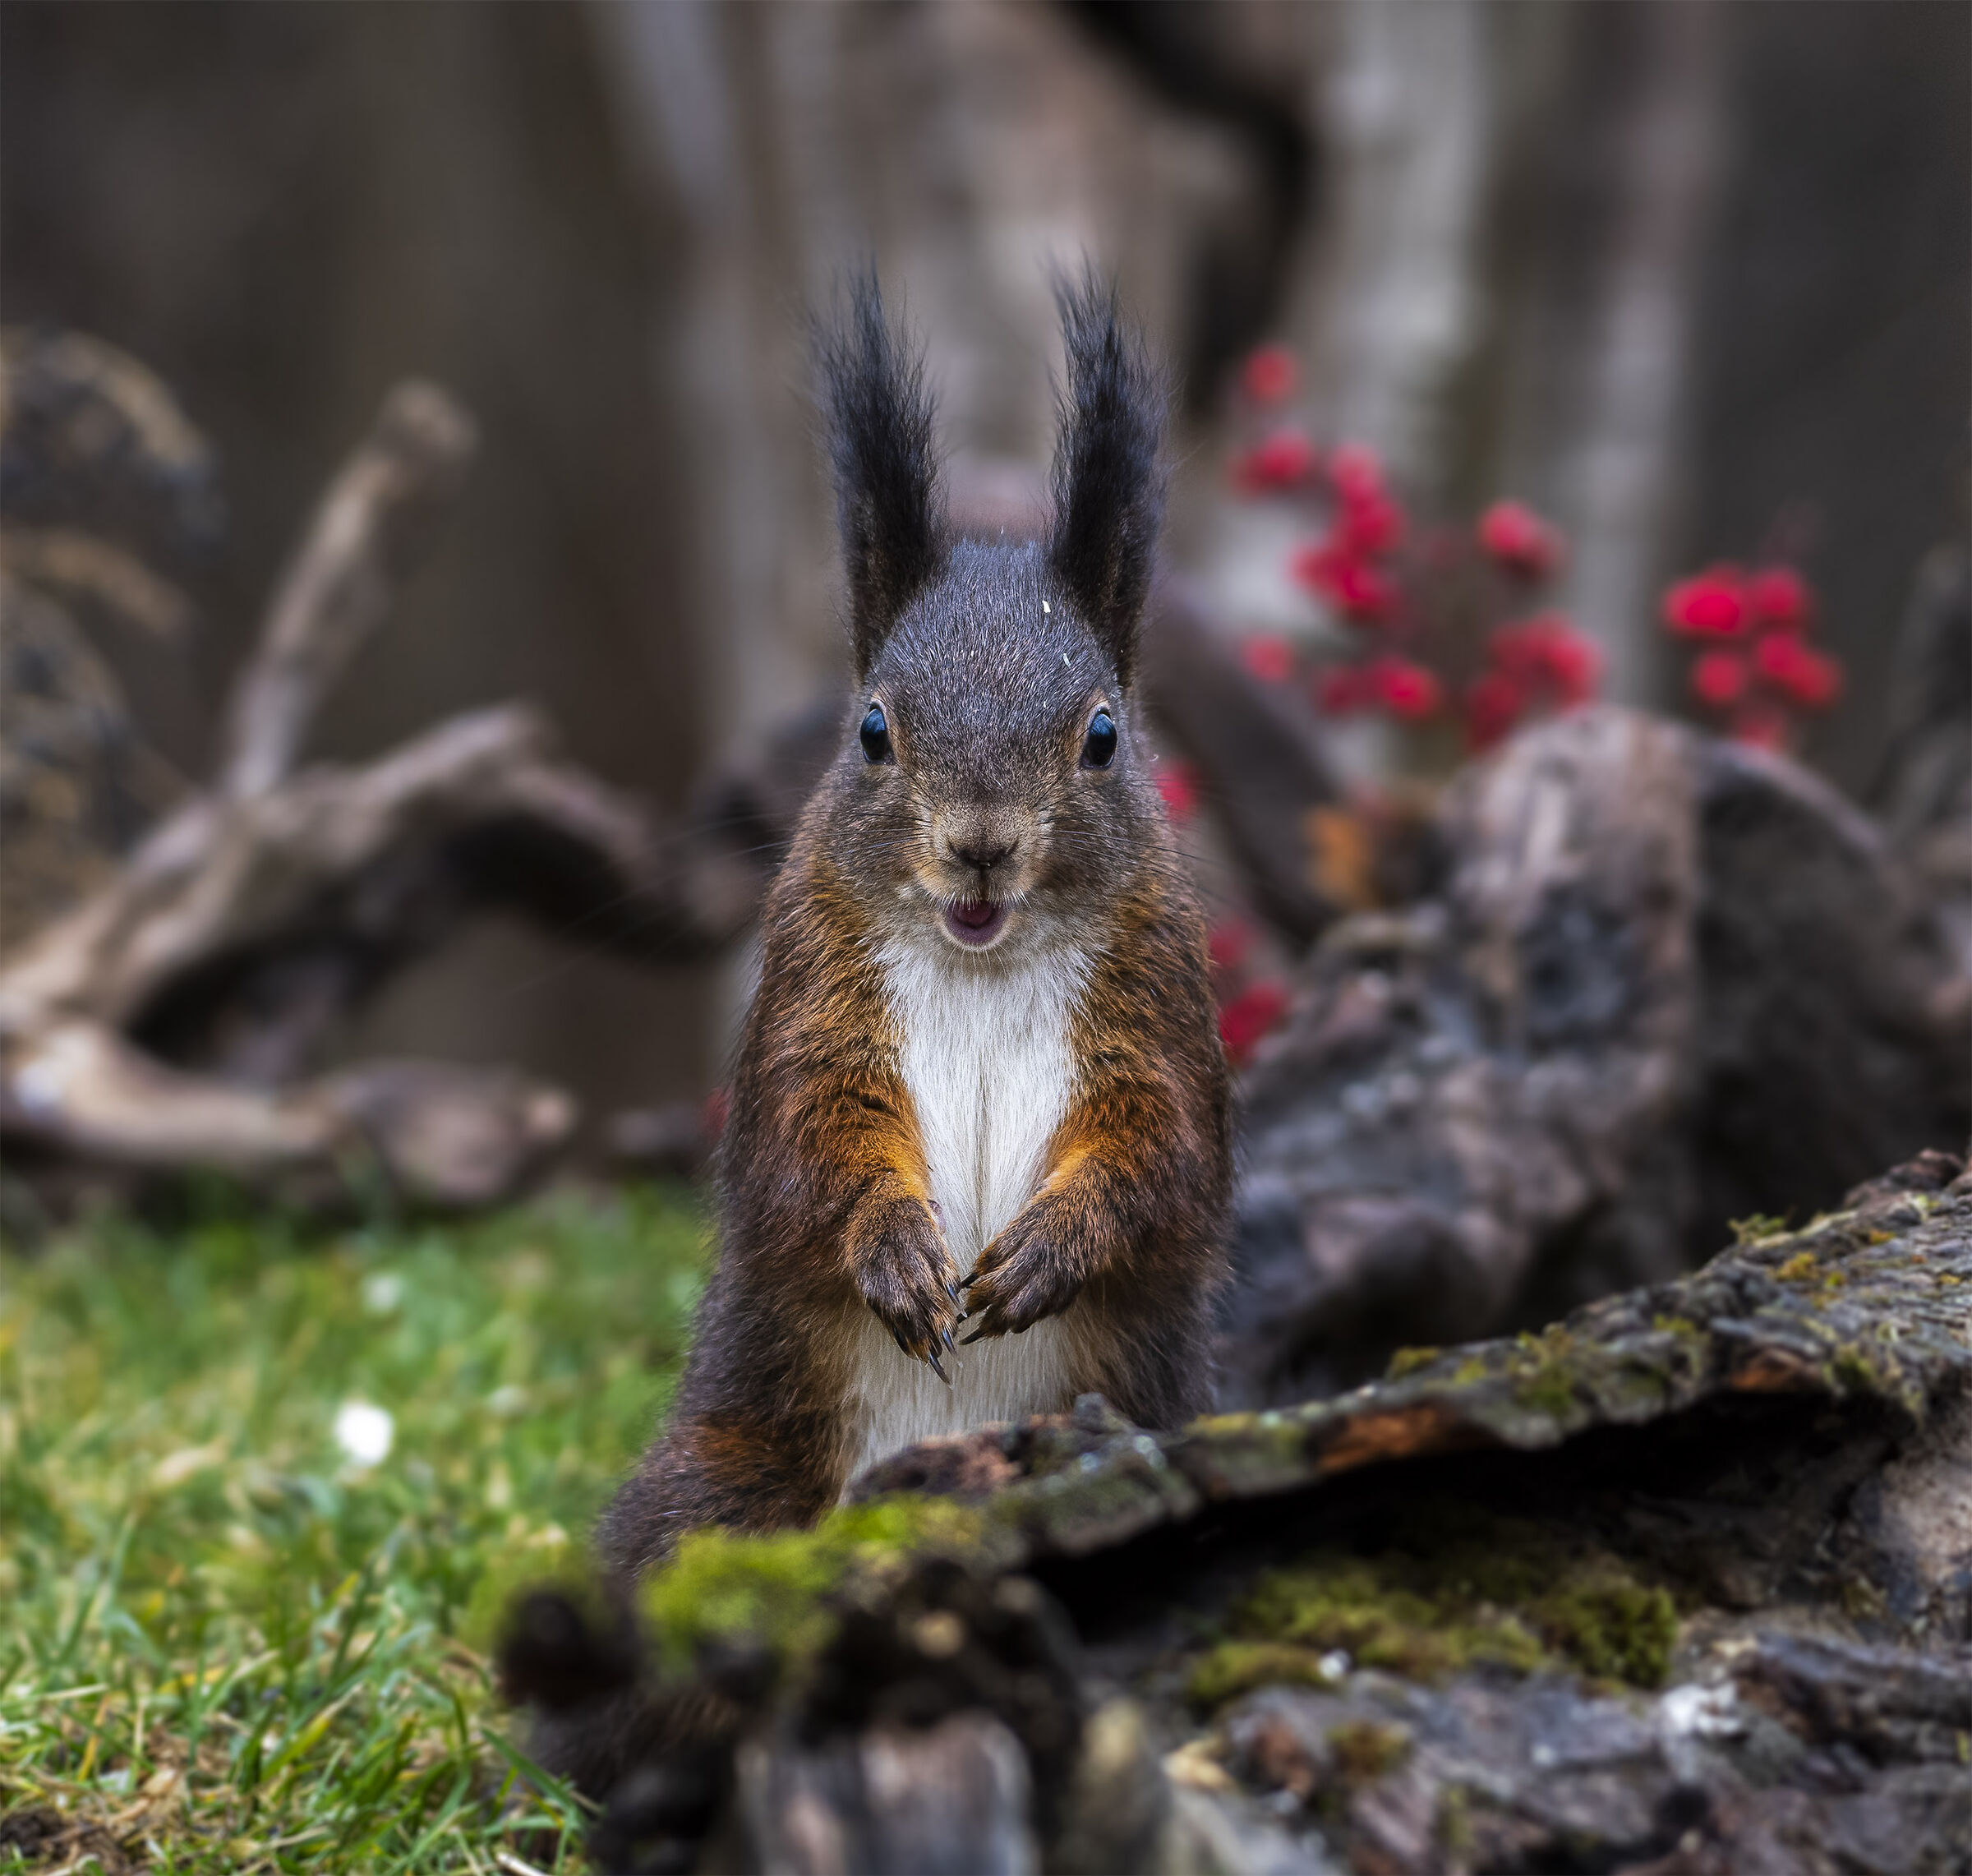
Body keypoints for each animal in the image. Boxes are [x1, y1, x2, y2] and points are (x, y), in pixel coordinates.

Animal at [595, 276, 1232, 1579]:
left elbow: (1163, 1153)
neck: (981, 958)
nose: (981, 842)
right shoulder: (813, 993)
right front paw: (892, 1250)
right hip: (720, 1483)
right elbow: (811, 1141)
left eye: (1104, 734)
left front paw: (1052, 1248)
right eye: (873, 729)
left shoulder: (1161, 1008)